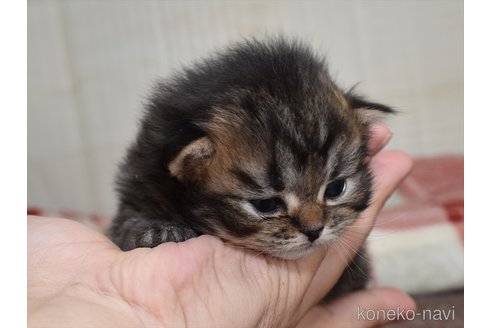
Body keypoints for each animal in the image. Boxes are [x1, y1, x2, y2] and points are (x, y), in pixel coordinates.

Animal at [107, 38, 392, 298]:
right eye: (267, 205)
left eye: (335, 189)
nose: (314, 231)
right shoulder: (140, 184)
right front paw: (157, 231)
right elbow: (128, 221)